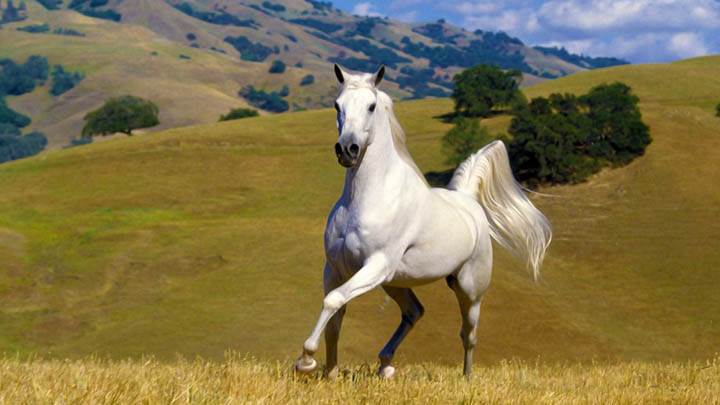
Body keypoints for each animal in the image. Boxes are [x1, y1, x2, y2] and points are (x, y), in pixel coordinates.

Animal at [294, 64, 552, 379]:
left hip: (468, 289)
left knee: (468, 335)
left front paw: (306, 361)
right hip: (394, 282)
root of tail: (467, 200)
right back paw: (385, 365)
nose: (347, 149)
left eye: (371, 106)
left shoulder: (376, 264)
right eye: (337, 105)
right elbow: (335, 316)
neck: (366, 198)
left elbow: (333, 301)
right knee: (414, 311)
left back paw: (466, 379)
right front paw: (329, 374)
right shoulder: (335, 268)